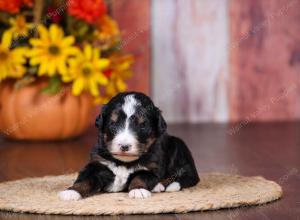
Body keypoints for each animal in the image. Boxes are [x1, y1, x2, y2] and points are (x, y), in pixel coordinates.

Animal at [58, 92, 199, 200]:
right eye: (113, 123)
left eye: (142, 125)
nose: (124, 146)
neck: (124, 162)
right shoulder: (97, 164)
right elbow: (84, 179)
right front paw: (71, 192)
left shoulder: (152, 167)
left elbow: (141, 176)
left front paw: (138, 190)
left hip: (178, 147)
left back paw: (159, 186)